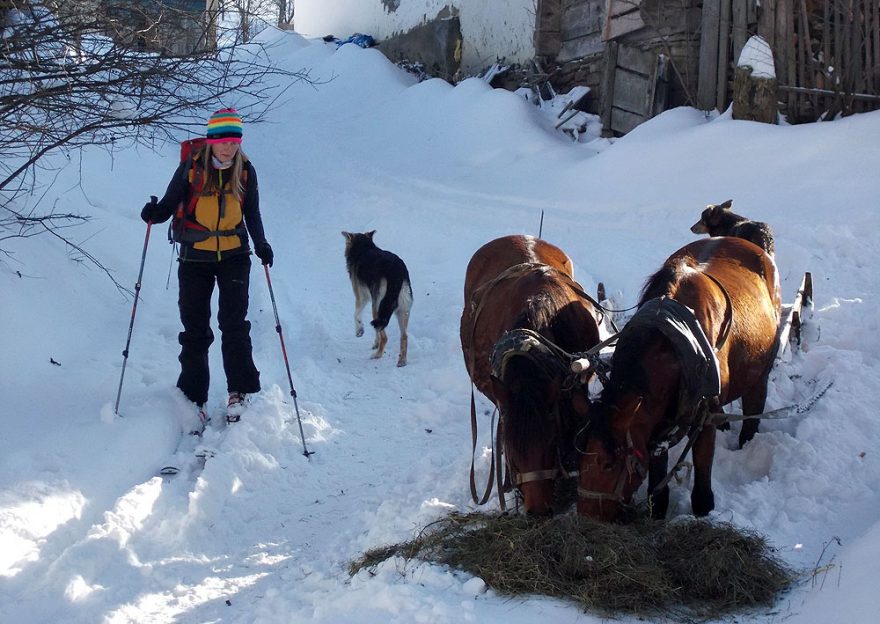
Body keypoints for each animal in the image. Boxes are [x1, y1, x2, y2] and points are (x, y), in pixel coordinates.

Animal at [342, 229, 414, 366]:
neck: (364, 247)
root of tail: (396, 272)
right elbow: (376, 332)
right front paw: (375, 343)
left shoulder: (361, 298)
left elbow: (356, 315)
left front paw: (359, 331)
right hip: (402, 310)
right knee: (404, 336)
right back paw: (402, 360)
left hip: (377, 307)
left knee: (385, 337)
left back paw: (377, 355)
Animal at [580, 239, 780, 520]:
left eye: (607, 464)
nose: (585, 516)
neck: (674, 344)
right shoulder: (656, 418)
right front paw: (657, 508)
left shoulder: (703, 417)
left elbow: (703, 466)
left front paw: (703, 507)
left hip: (761, 370)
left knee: (754, 404)